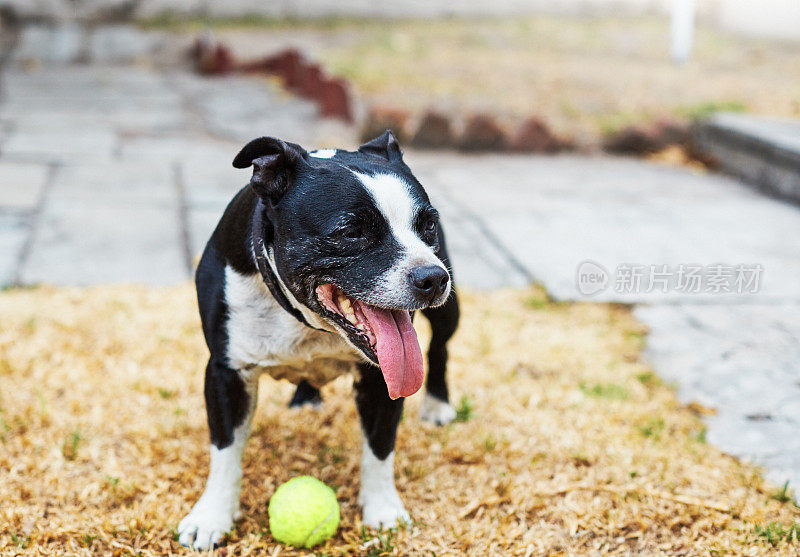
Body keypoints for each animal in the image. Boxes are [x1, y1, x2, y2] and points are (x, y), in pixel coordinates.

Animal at [177, 129, 460, 548]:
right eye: (351, 232)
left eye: (427, 226)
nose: (432, 276)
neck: (309, 322)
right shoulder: (227, 372)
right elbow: (224, 448)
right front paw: (211, 516)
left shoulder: (382, 378)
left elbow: (380, 447)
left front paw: (382, 511)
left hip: (447, 313)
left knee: (439, 349)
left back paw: (438, 403)